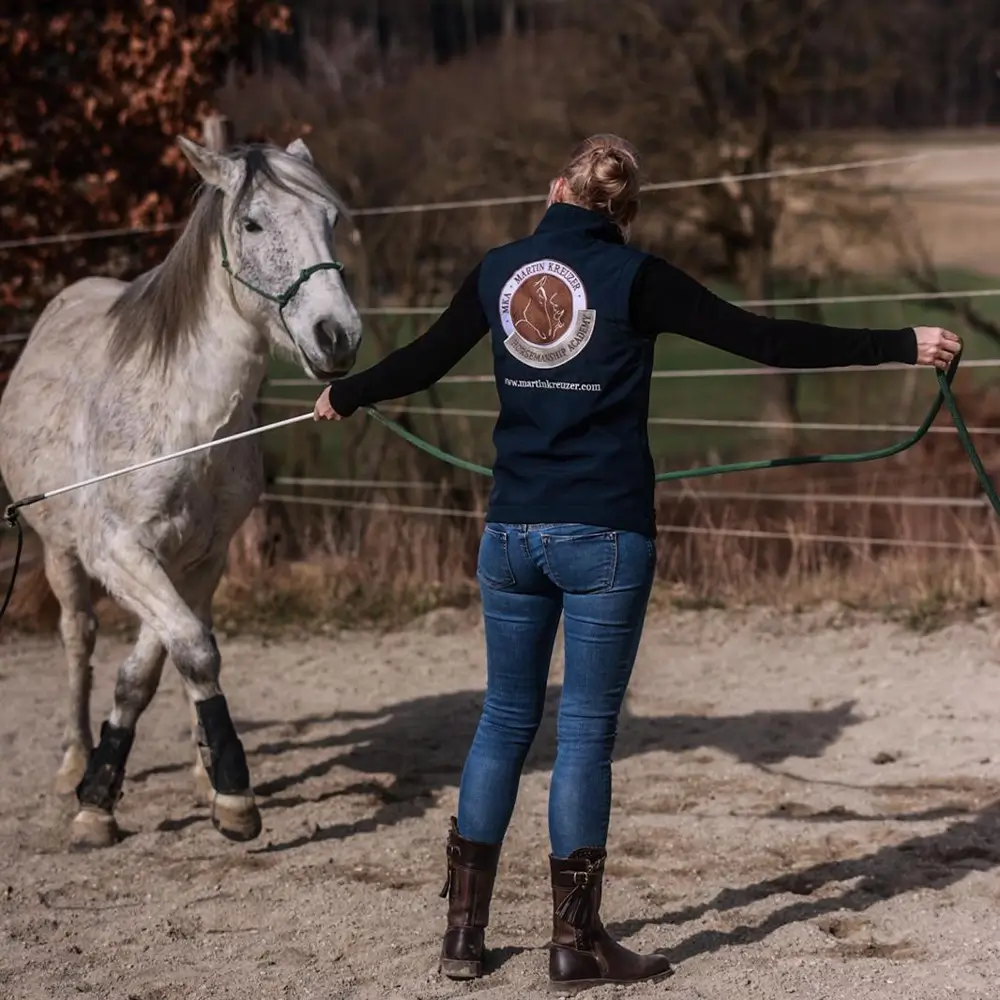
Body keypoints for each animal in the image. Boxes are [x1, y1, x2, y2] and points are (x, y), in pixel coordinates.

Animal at [0, 135, 362, 848]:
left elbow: (160, 662)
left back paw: (196, 769)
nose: (337, 336)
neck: (185, 423)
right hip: (60, 555)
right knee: (78, 637)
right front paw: (97, 797)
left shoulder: (200, 556)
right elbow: (187, 650)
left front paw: (217, 786)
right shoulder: (118, 553)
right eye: (252, 224)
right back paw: (74, 759)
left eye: (330, 219)